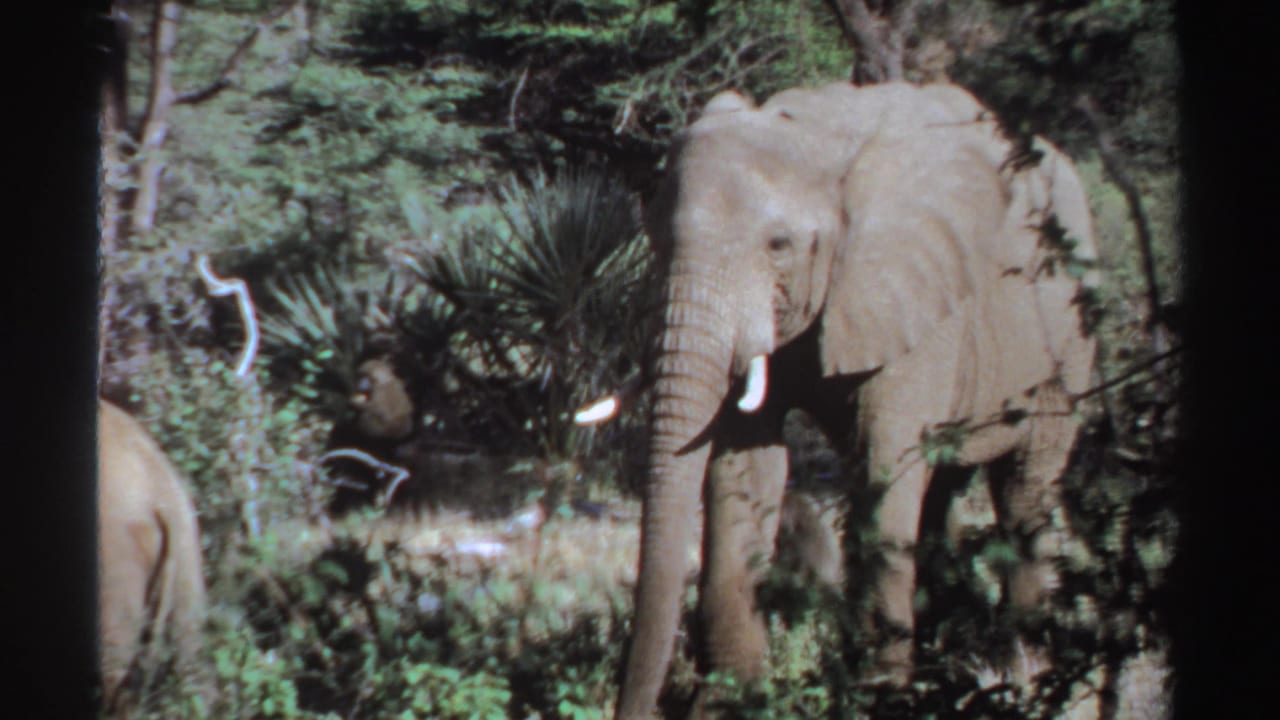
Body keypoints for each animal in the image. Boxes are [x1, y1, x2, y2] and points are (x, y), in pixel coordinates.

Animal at [591, 81, 1099, 719]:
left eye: (778, 245)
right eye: (655, 238)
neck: (814, 137)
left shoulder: (915, 296)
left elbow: (885, 466)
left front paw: (877, 702)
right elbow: (743, 467)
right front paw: (731, 703)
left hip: (1067, 343)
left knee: (1025, 488)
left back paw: (1030, 676)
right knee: (944, 489)